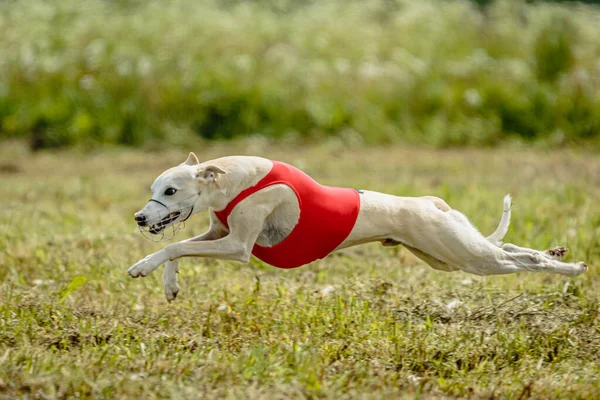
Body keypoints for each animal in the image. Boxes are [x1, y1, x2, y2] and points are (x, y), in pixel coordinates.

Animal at [127, 153, 592, 300]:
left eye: (170, 190)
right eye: (154, 188)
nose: (140, 217)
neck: (234, 180)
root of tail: (432, 203)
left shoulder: (239, 246)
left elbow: (174, 246)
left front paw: (142, 267)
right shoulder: (217, 234)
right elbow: (178, 248)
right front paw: (168, 283)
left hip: (467, 256)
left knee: (522, 261)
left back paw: (569, 267)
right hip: (449, 256)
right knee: (512, 250)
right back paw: (556, 253)